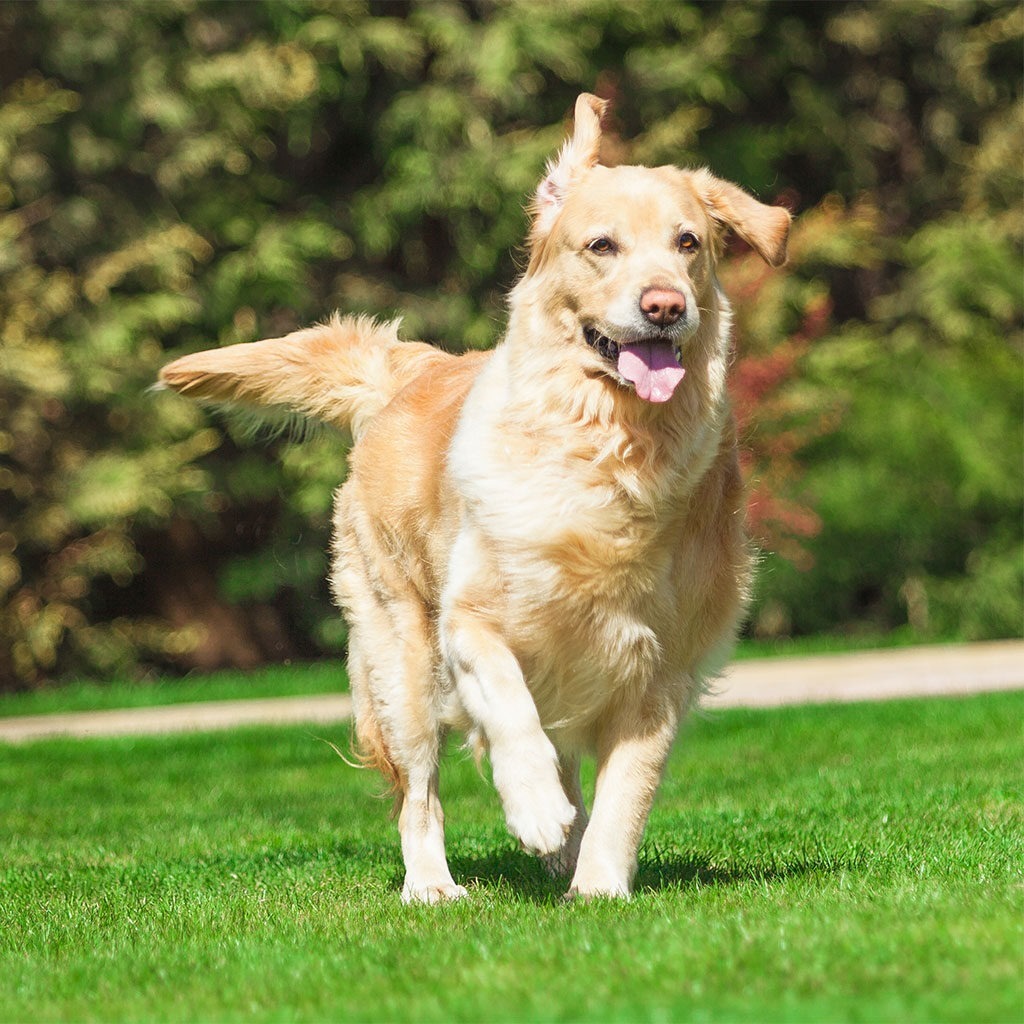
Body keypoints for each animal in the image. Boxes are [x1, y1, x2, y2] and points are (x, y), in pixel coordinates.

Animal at [161, 92, 790, 901]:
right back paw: (434, 881)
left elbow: (627, 791)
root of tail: (410, 368)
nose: (664, 306)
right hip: (400, 662)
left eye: (689, 243)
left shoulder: (662, 668)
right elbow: (510, 709)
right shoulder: (469, 623)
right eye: (601, 246)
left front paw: (598, 885)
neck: (607, 451)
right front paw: (533, 809)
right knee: (420, 793)